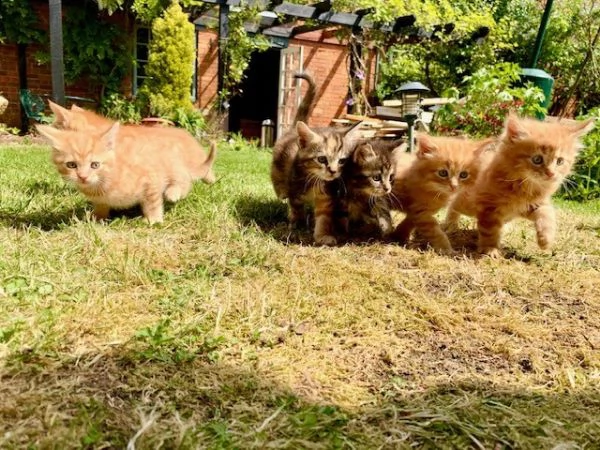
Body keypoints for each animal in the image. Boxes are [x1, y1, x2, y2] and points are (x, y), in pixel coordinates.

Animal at [35, 122, 218, 224]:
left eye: (95, 165)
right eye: (71, 165)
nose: (83, 176)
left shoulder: (150, 178)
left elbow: (152, 202)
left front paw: (154, 220)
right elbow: (101, 206)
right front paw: (96, 217)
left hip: (174, 165)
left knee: (184, 180)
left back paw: (173, 192)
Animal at [270, 72, 360, 244]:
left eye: (342, 161)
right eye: (322, 159)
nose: (333, 171)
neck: (315, 181)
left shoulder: (327, 198)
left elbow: (324, 217)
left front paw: (323, 236)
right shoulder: (295, 192)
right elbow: (296, 208)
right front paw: (297, 225)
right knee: (280, 187)